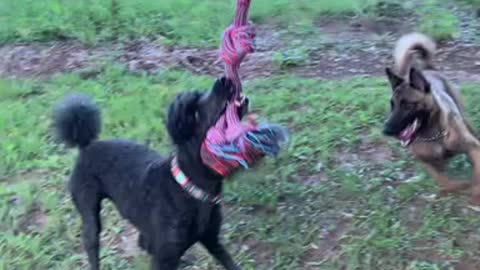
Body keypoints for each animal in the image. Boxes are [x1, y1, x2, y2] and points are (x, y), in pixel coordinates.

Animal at [384, 32, 480, 206]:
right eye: (392, 105)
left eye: (408, 105)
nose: (386, 130)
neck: (434, 135)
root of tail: (427, 70)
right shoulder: (425, 161)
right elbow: (443, 180)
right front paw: (457, 185)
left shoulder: (473, 148)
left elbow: (478, 174)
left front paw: (476, 194)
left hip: (464, 118)